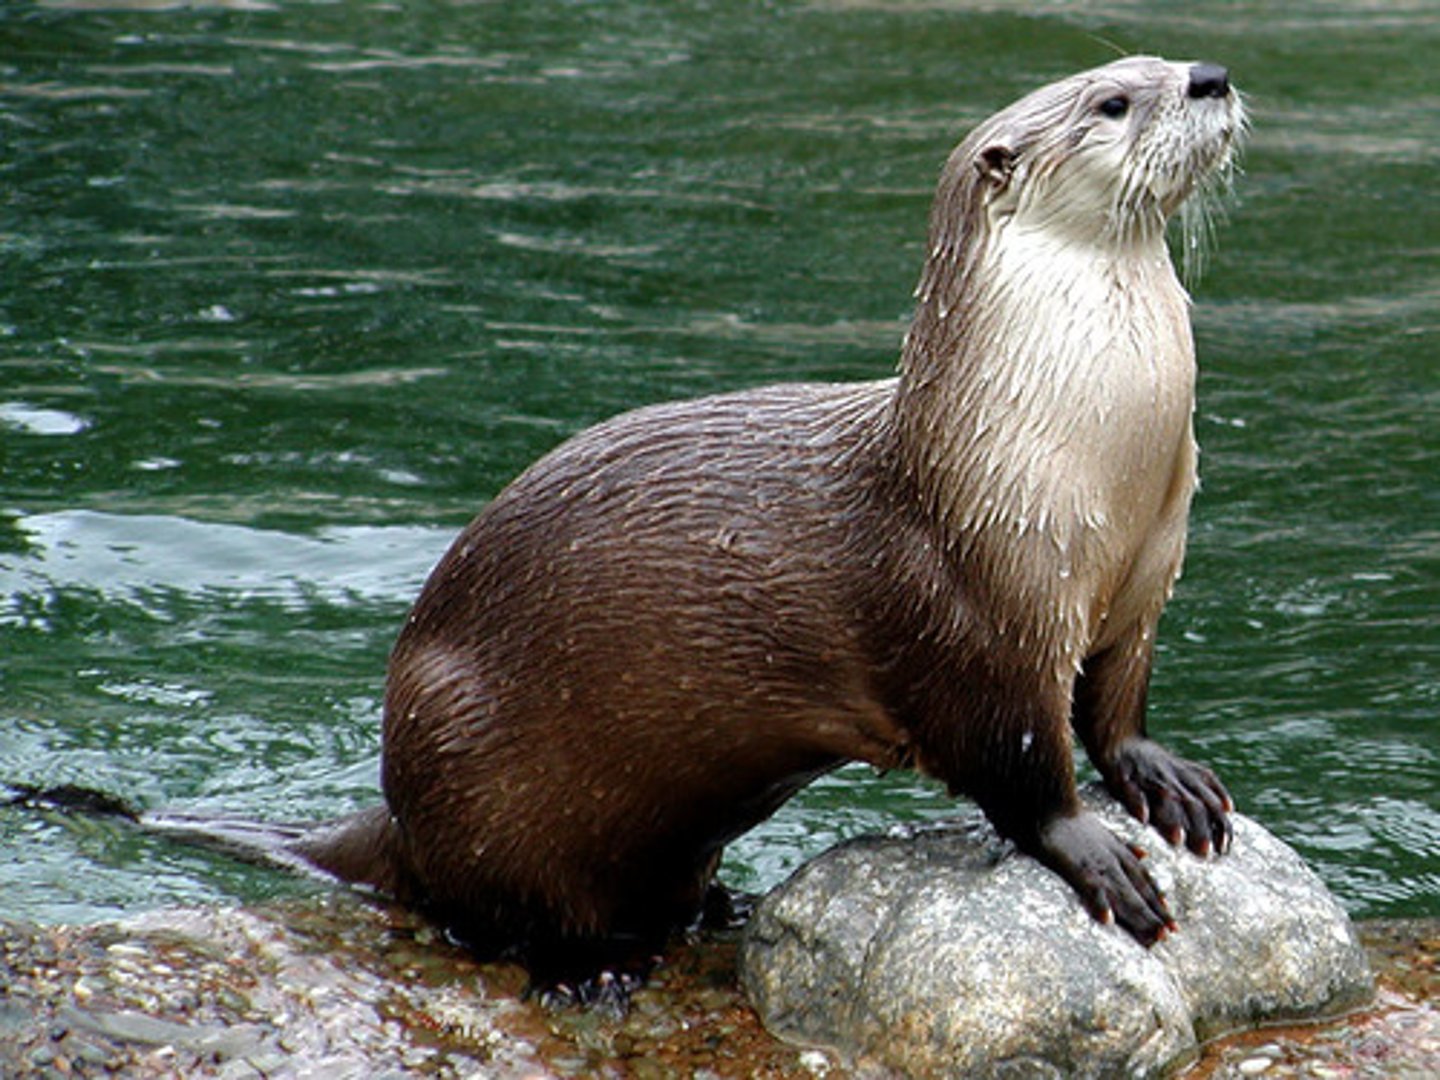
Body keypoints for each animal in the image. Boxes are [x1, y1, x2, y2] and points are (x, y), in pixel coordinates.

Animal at [292, 56, 1246, 981]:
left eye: (1159, 60)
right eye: (1114, 100)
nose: (1210, 75)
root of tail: (395, 808)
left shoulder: (1146, 581)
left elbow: (1116, 709)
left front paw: (1166, 776)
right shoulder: (979, 621)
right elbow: (1022, 773)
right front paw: (1094, 853)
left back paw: (719, 907)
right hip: (461, 744)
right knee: (499, 907)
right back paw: (590, 966)